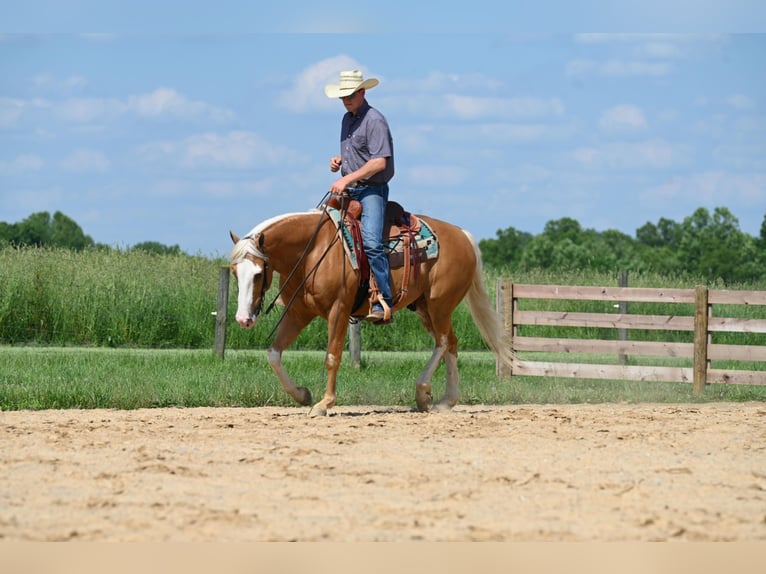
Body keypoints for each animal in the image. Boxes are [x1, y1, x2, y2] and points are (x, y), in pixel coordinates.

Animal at [230, 205, 516, 416]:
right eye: (234, 272)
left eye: (258, 274)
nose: (243, 319)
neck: (312, 251)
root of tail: (462, 235)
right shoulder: (299, 313)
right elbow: (273, 354)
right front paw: (302, 395)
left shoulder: (339, 310)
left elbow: (332, 356)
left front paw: (324, 404)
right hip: (425, 306)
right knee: (450, 343)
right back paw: (443, 400)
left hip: (440, 304)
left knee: (444, 341)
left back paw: (425, 392)